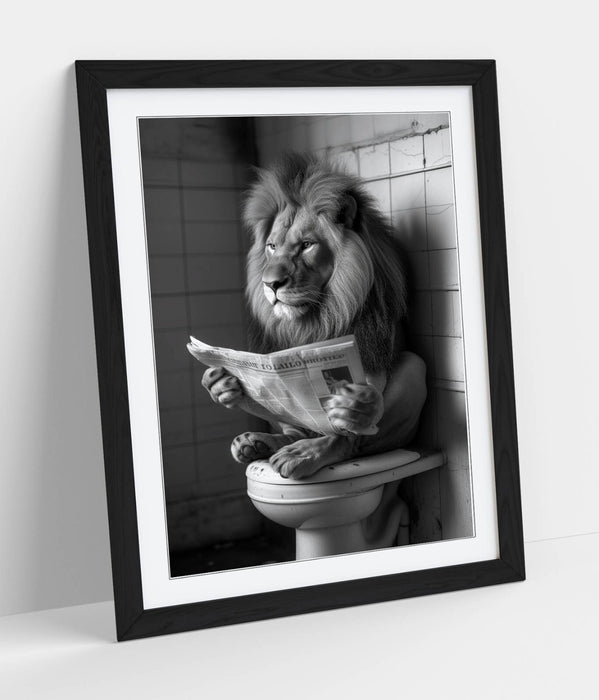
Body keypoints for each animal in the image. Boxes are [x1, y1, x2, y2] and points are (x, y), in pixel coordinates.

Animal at [201, 153, 427, 479]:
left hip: (412, 372)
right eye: (272, 246)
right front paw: (221, 383)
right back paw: (256, 443)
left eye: (306, 245)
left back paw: (303, 451)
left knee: (349, 441)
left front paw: (354, 408)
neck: (318, 316)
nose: (270, 284)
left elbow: (353, 416)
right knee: (297, 430)